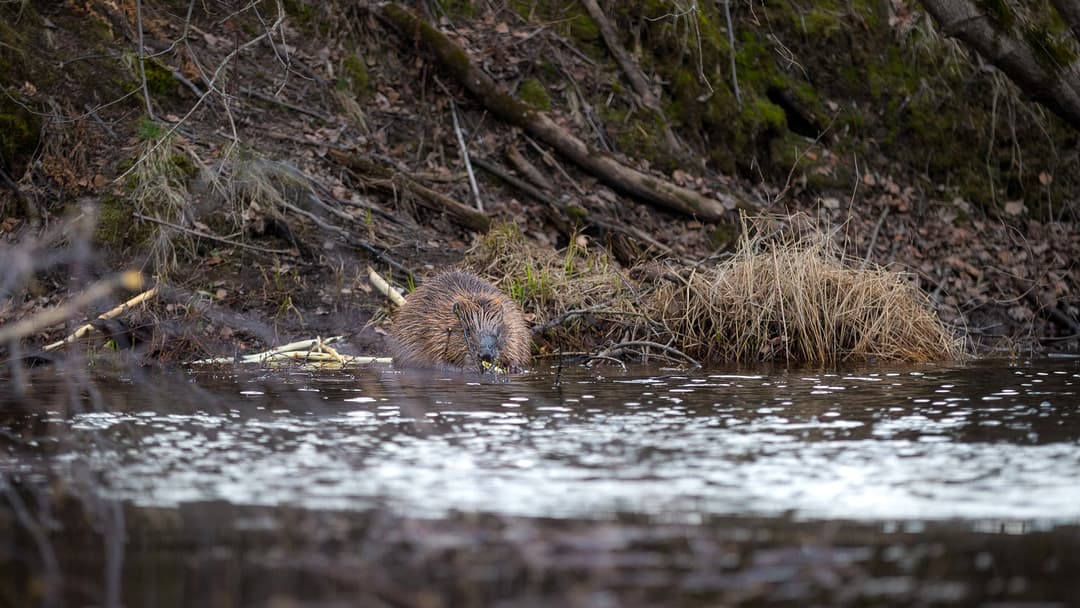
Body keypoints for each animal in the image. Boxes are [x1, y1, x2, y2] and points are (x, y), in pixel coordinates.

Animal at [393, 272, 535, 375]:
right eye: (467, 331)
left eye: (498, 332)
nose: (486, 355)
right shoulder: (430, 330)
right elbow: (436, 361)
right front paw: (469, 369)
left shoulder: (514, 325)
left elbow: (515, 346)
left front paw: (514, 367)